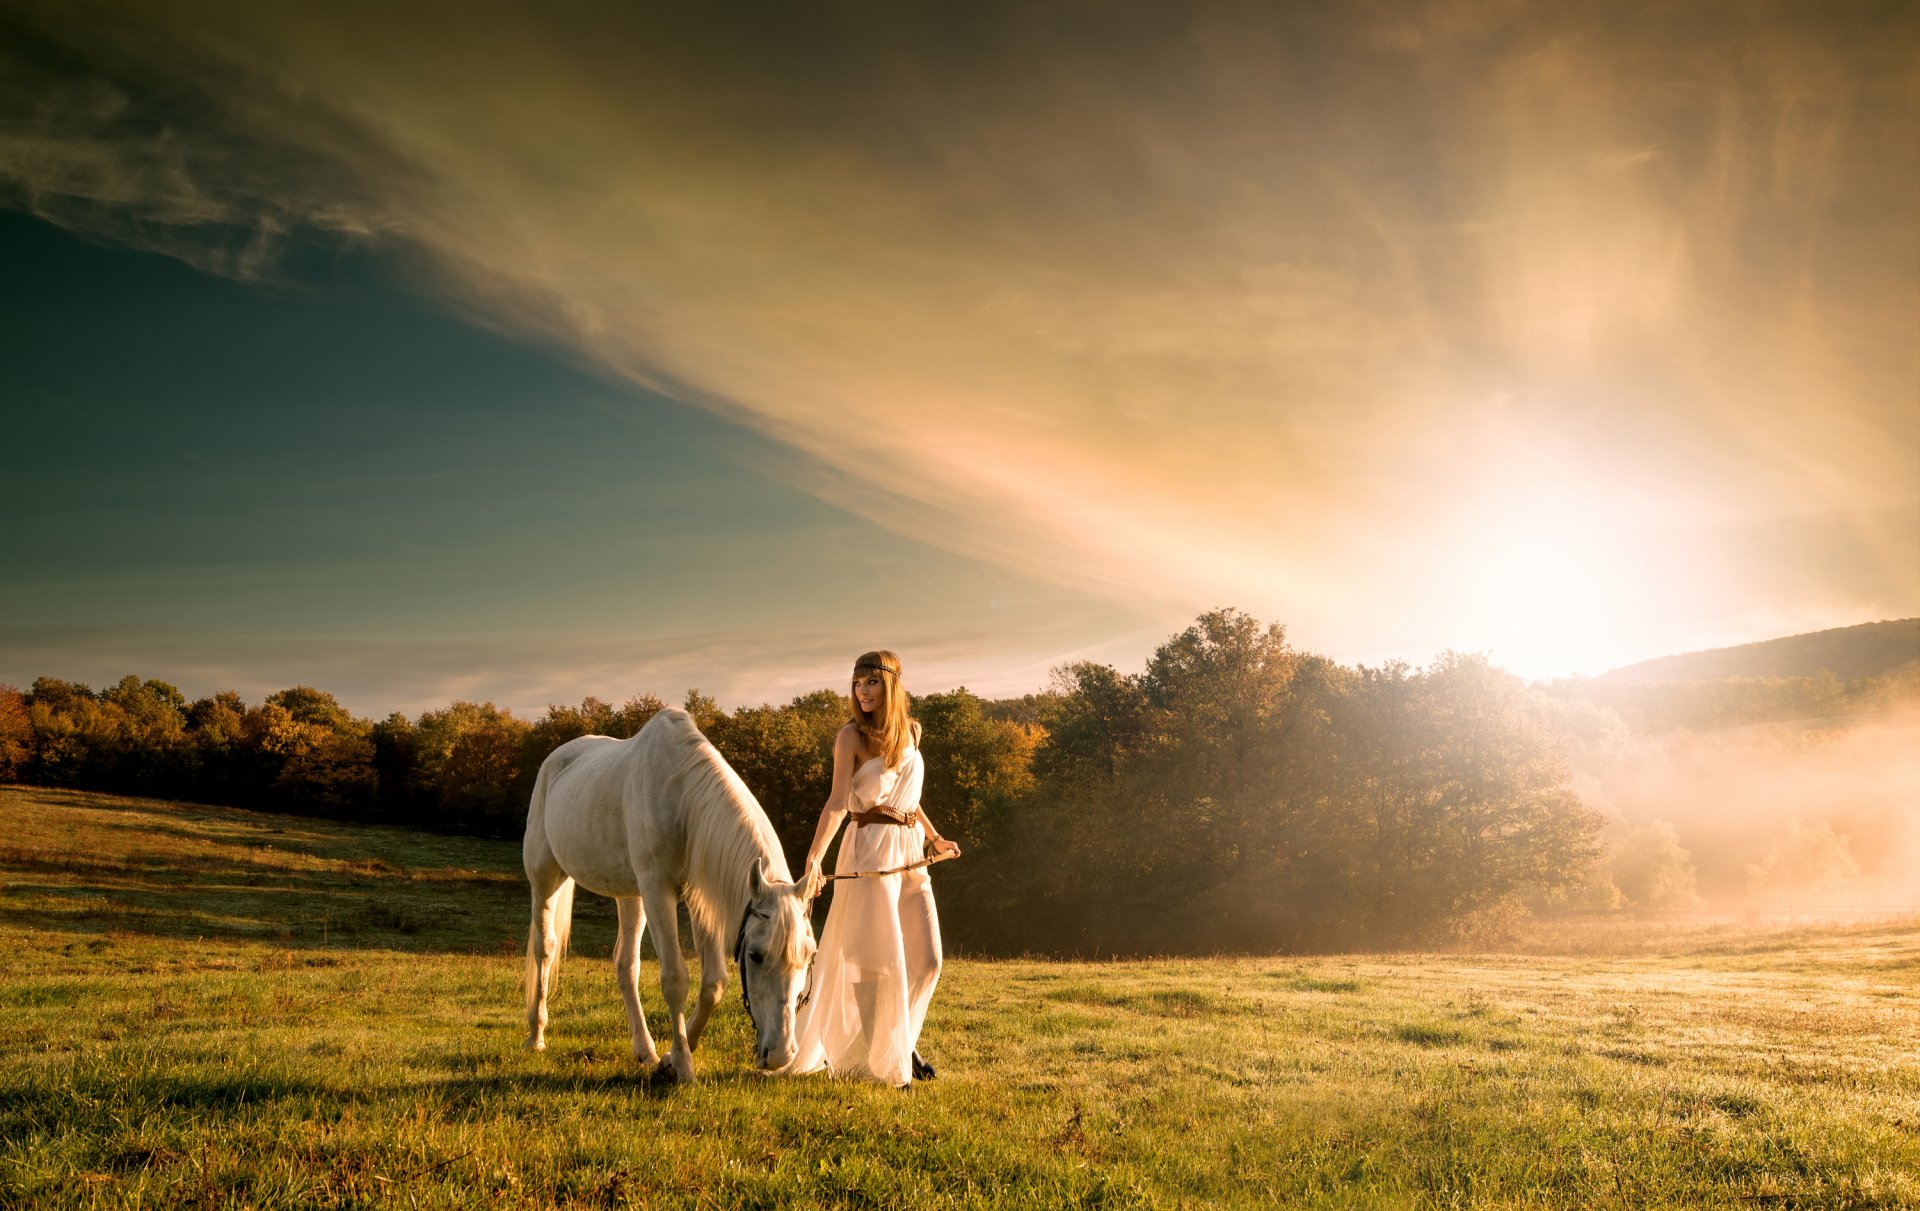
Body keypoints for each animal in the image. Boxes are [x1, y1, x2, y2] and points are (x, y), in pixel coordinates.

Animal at [522, 706, 814, 1082]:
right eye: (756, 956)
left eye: (809, 954)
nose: (780, 1054)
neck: (683, 800)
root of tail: (557, 759)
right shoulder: (657, 890)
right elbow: (675, 979)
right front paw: (683, 1064)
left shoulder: (700, 898)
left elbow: (714, 984)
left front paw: (670, 1057)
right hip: (545, 877)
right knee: (544, 949)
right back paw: (536, 1035)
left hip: (630, 894)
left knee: (626, 965)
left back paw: (644, 1050)